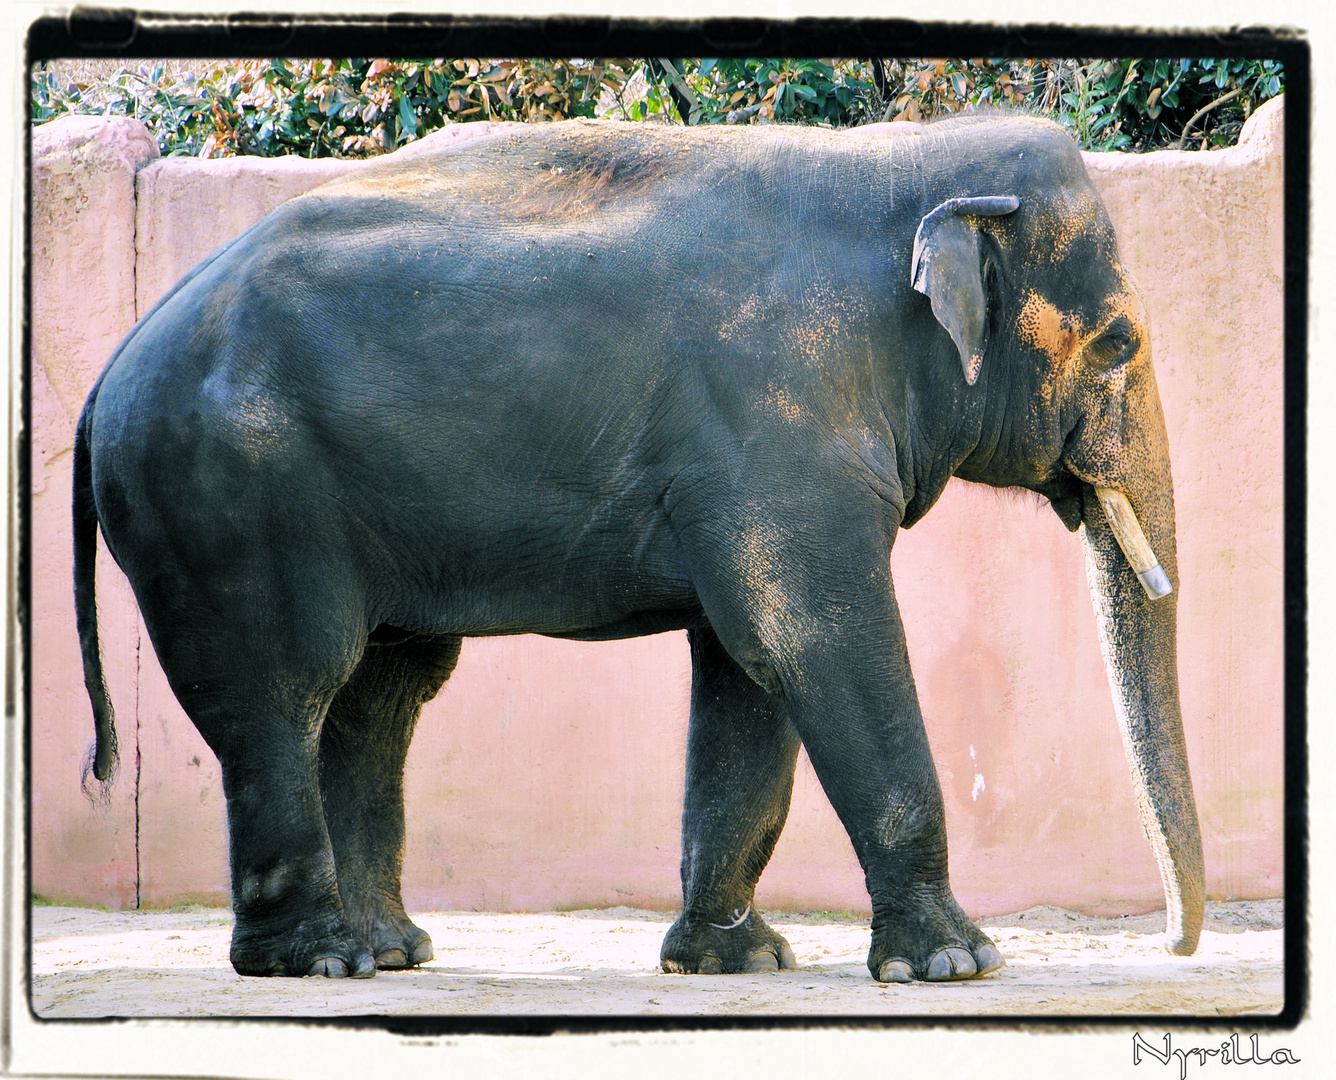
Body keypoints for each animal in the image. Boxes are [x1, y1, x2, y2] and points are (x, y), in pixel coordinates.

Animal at [70, 113, 1202, 983]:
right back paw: (317, 962)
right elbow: (818, 642)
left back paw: (390, 951)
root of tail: (103, 380)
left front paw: (735, 961)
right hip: (228, 505)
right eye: (1120, 343)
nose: (1178, 949)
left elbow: (748, 671)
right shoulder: (777, 432)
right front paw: (957, 966)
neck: (903, 160)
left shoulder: (753, 472)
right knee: (280, 694)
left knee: (381, 696)